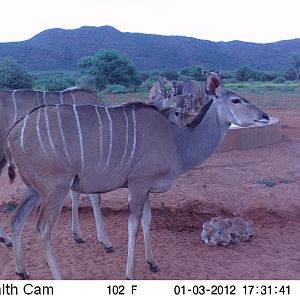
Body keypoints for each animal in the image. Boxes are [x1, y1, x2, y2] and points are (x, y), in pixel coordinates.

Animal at [0, 88, 112, 251]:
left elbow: (75, 194)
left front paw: (77, 235)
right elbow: (94, 197)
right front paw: (105, 241)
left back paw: (6, 239)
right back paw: (6, 238)